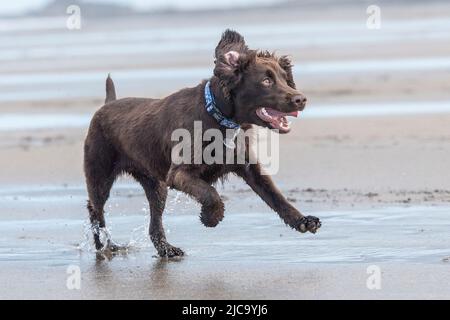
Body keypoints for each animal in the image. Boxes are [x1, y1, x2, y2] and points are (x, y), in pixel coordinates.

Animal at [83, 30, 320, 258]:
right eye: (266, 81)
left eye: (285, 79)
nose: (301, 99)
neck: (217, 116)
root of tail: (108, 104)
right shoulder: (178, 174)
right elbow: (211, 194)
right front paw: (211, 217)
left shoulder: (250, 168)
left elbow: (277, 198)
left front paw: (302, 220)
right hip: (100, 177)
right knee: (95, 210)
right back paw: (105, 246)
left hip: (156, 185)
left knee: (154, 225)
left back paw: (167, 250)